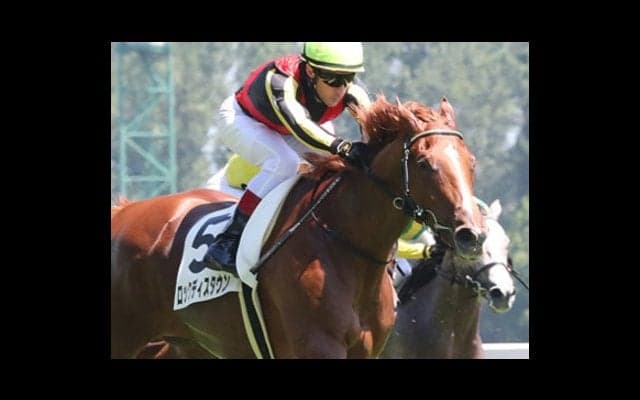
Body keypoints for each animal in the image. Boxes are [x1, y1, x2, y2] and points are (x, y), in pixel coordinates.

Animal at [111, 95, 486, 358]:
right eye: (424, 164)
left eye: (471, 162)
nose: (472, 234)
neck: (344, 243)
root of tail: (124, 211)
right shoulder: (319, 346)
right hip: (128, 339)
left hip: (188, 344)